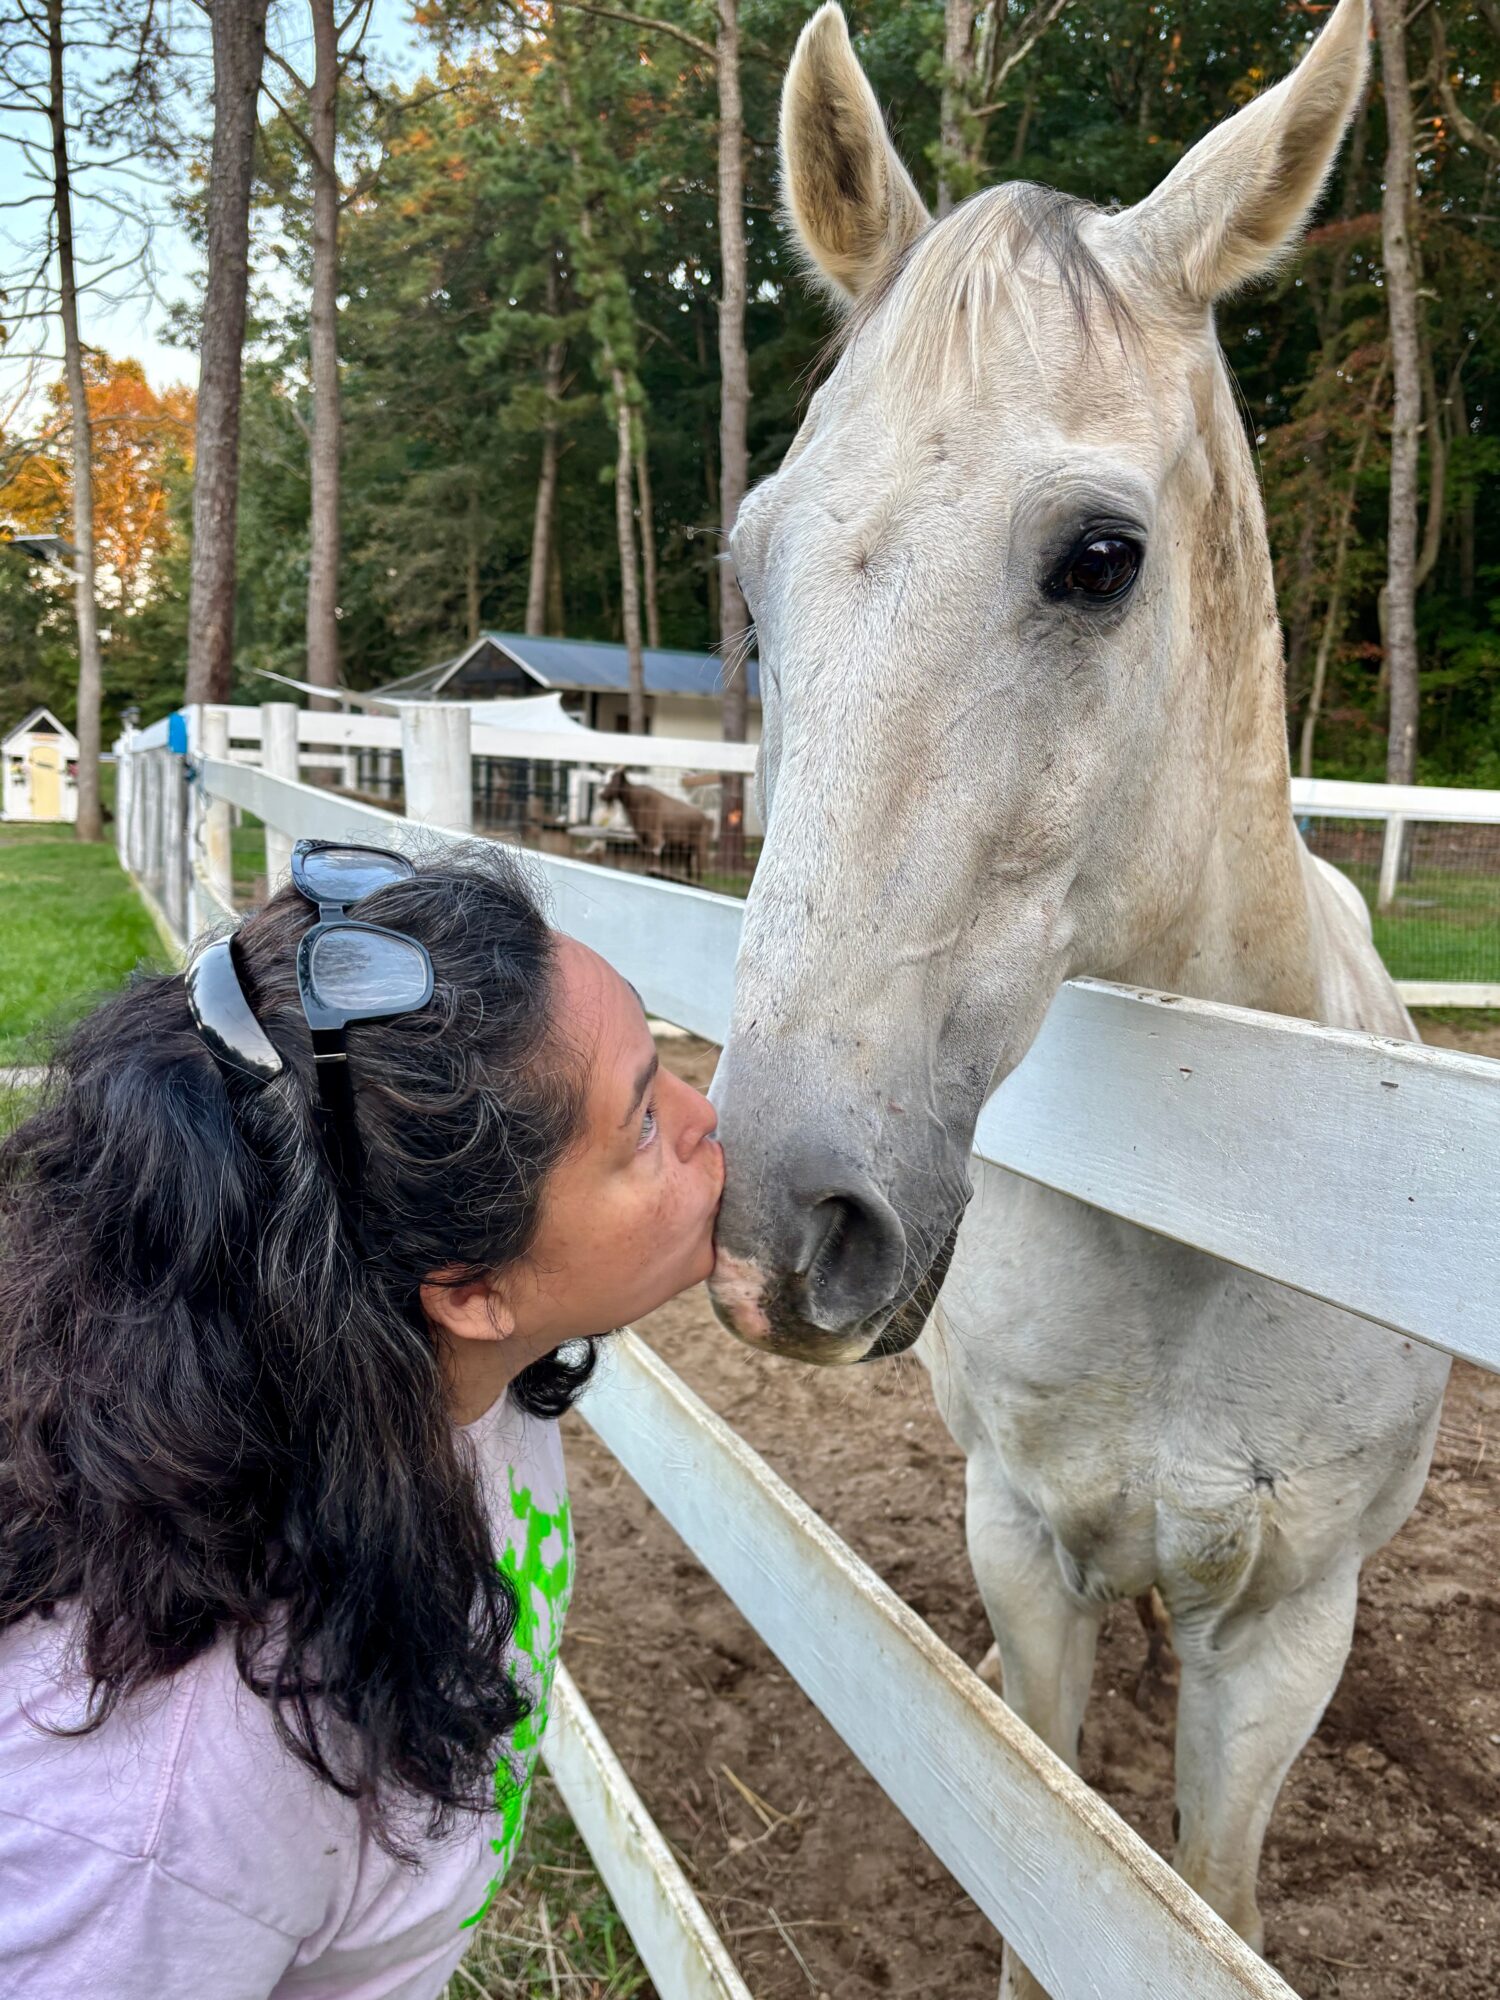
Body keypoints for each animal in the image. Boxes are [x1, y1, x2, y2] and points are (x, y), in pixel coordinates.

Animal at [706, 5, 1448, 1993]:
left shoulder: (1285, 1632)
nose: (777, 1222)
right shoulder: (1025, 1545)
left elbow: (1207, 1897)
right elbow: (1052, 1874)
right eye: (749, 566)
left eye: (1100, 558)